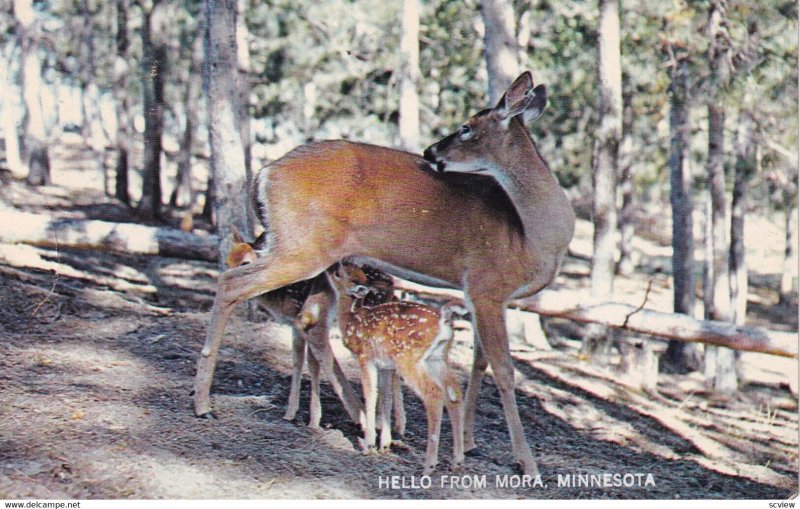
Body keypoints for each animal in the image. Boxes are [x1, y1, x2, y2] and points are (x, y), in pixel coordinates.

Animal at [225, 228, 400, 430]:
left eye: (245, 263)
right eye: (227, 261)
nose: (230, 283)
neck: (280, 298)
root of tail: (391, 283)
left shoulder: (309, 321)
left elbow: (314, 363)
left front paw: (314, 420)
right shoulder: (295, 325)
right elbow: (299, 361)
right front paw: (291, 413)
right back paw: (394, 424)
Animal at [326, 264, 466, 474]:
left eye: (339, 273)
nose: (330, 267)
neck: (350, 321)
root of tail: (444, 321)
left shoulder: (366, 357)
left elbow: (371, 395)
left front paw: (368, 446)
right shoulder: (386, 366)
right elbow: (386, 397)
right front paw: (384, 445)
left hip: (408, 358)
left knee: (434, 394)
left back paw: (429, 465)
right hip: (437, 359)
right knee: (454, 394)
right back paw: (457, 461)